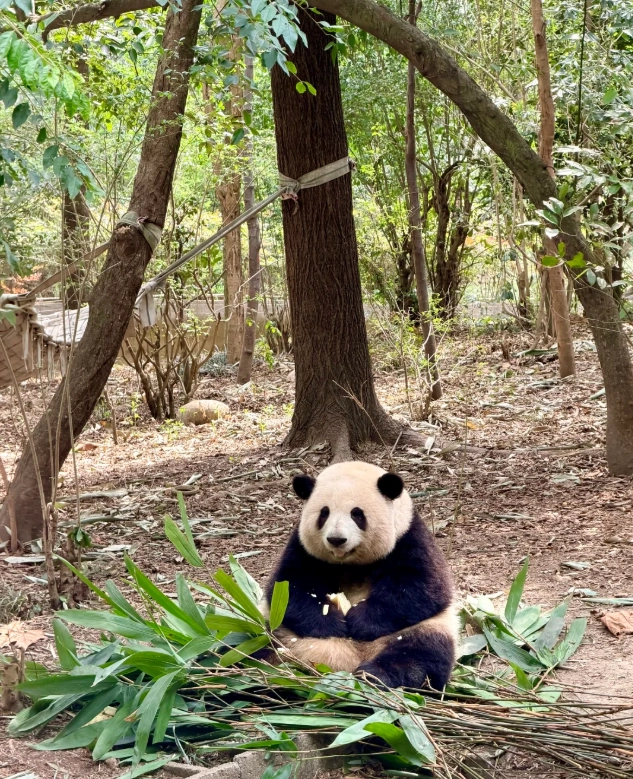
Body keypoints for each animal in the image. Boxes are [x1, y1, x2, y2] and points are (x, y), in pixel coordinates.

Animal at [264, 461, 457, 690]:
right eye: (324, 513)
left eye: (357, 514)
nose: (336, 539)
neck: (352, 564)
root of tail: (345, 663)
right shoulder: (303, 548)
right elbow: (288, 588)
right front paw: (331, 622)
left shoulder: (408, 538)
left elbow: (423, 588)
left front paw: (359, 622)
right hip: (277, 632)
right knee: (254, 647)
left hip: (424, 629)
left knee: (421, 654)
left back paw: (375, 675)